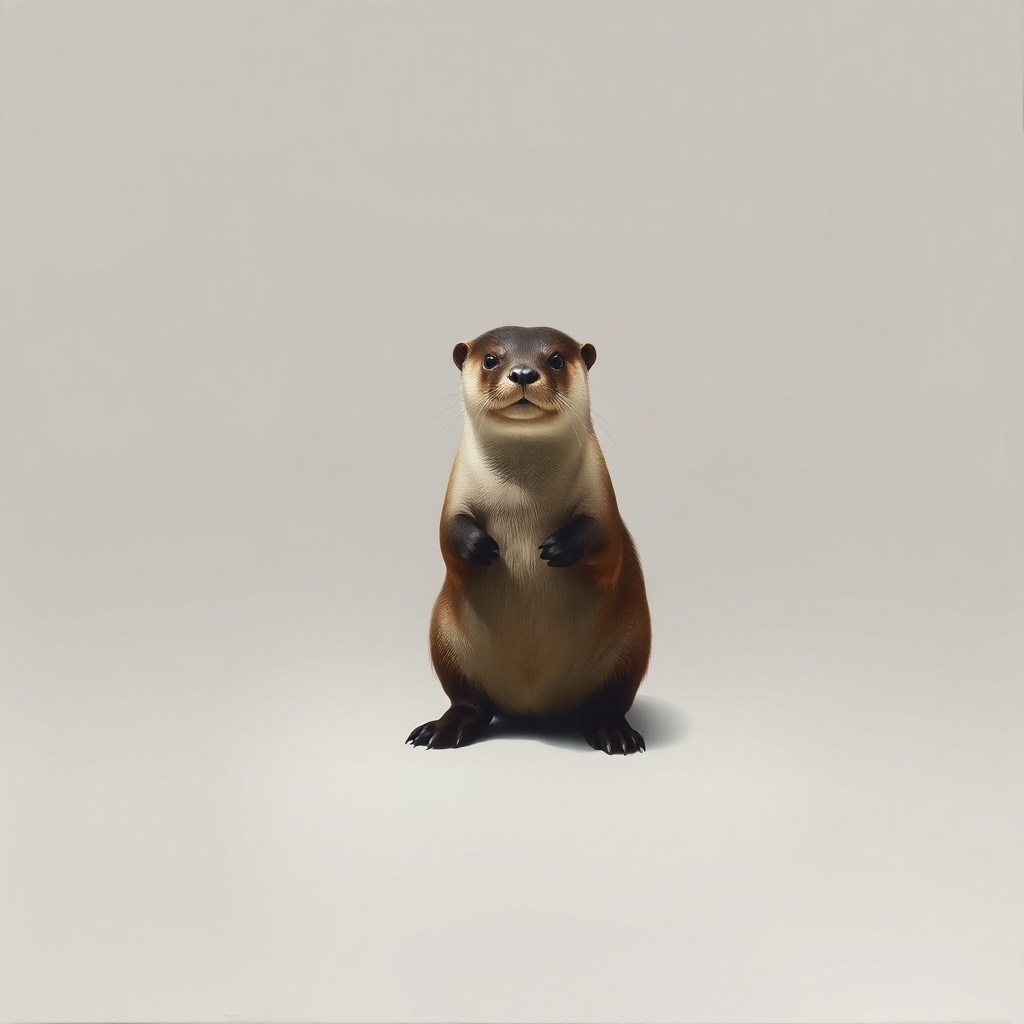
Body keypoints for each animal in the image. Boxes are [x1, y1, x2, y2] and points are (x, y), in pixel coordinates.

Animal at [407, 326, 652, 755]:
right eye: (491, 359)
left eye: (555, 359)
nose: (522, 373)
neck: (523, 490)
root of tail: (535, 709)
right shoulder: (455, 493)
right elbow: (447, 535)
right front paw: (481, 547)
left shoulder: (602, 498)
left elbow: (604, 541)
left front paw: (556, 548)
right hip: (445, 641)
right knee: (469, 702)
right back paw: (442, 729)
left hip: (631, 648)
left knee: (608, 702)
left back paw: (613, 733)